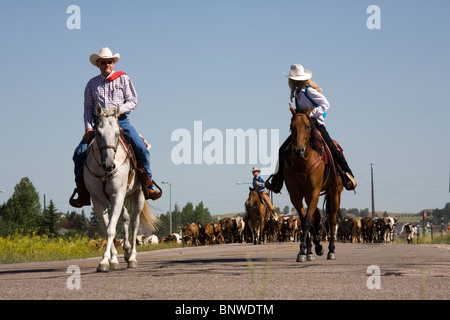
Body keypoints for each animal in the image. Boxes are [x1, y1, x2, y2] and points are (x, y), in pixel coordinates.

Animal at [85, 105, 161, 272]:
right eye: (98, 133)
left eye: (116, 133)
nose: (109, 164)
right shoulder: (98, 199)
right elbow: (108, 227)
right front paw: (111, 260)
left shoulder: (117, 194)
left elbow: (111, 229)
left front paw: (105, 261)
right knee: (125, 217)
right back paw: (125, 252)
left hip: (138, 194)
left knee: (134, 223)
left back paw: (132, 257)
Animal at [284, 105, 344, 262]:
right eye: (291, 127)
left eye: (307, 126)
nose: (298, 150)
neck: (302, 162)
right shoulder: (296, 196)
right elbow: (306, 220)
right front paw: (308, 250)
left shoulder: (314, 192)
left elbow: (306, 221)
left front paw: (302, 251)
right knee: (316, 215)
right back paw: (316, 247)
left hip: (335, 192)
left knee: (332, 219)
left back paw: (331, 250)